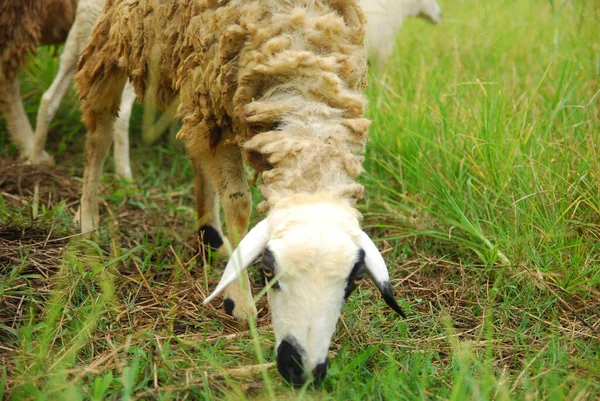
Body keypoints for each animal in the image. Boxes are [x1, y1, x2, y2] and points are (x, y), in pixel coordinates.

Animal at [74, 0, 404, 388]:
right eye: (268, 271)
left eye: (352, 283)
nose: (303, 372)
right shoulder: (217, 104)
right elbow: (238, 203)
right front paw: (241, 303)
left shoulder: (214, 100)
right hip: (112, 40)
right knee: (98, 133)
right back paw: (88, 221)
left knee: (193, 148)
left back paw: (208, 233)